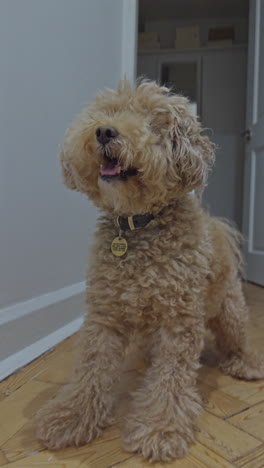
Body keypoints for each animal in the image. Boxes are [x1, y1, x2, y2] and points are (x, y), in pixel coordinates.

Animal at [36, 80, 264, 460]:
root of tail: (218, 227)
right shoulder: (104, 317)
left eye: (153, 124)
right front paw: (70, 418)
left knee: (237, 338)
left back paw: (245, 363)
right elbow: (91, 371)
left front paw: (160, 428)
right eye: (109, 112)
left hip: (229, 310)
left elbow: (170, 381)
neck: (138, 224)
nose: (104, 131)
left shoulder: (179, 323)